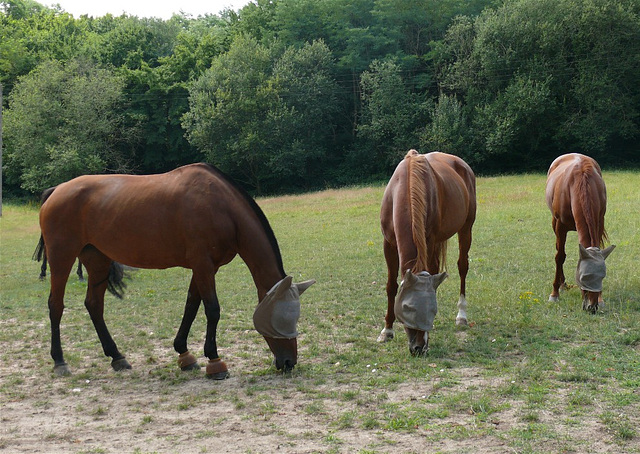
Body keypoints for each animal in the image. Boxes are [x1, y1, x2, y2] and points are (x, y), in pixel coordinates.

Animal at [35, 162, 316, 376]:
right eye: (283, 319)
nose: (289, 362)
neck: (220, 206)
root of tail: (57, 190)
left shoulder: (204, 268)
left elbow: (191, 305)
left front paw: (184, 354)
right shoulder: (203, 265)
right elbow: (212, 310)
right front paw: (214, 361)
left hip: (97, 261)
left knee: (94, 305)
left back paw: (117, 357)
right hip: (62, 258)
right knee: (56, 306)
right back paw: (59, 361)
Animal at [378, 151, 478, 352]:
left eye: (433, 309)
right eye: (408, 308)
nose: (419, 347)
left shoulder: (429, 241)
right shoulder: (389, 244)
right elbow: (391, 286)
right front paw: (387, 330)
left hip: (466, 228)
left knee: (463, 267)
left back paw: (462, 315)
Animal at [544, 153, 616, 312]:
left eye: (602, 276)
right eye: (584, 277)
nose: (592, 307)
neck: (581, 181)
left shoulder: (599, 221)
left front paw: (601, 299)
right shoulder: (560, 225)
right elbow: (560, 256)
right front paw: (554, 294)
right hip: (554, 223)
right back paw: (562, 285)